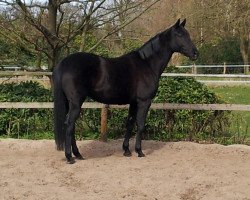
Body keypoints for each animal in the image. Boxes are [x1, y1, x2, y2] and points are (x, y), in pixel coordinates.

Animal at [53, 18, 198, 163]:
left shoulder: (133, 102)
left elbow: (130, 123)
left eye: (188, 34)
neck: (147, 64)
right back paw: (70, 157)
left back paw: (78, 154)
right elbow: (140, 124)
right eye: (179, 35)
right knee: (69, 124)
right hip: (76, 102)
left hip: (69, 103)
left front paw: (127, 150)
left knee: (71, 126)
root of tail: (64, 63)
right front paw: (139, 151)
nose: (196, 53)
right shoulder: (144, 101)